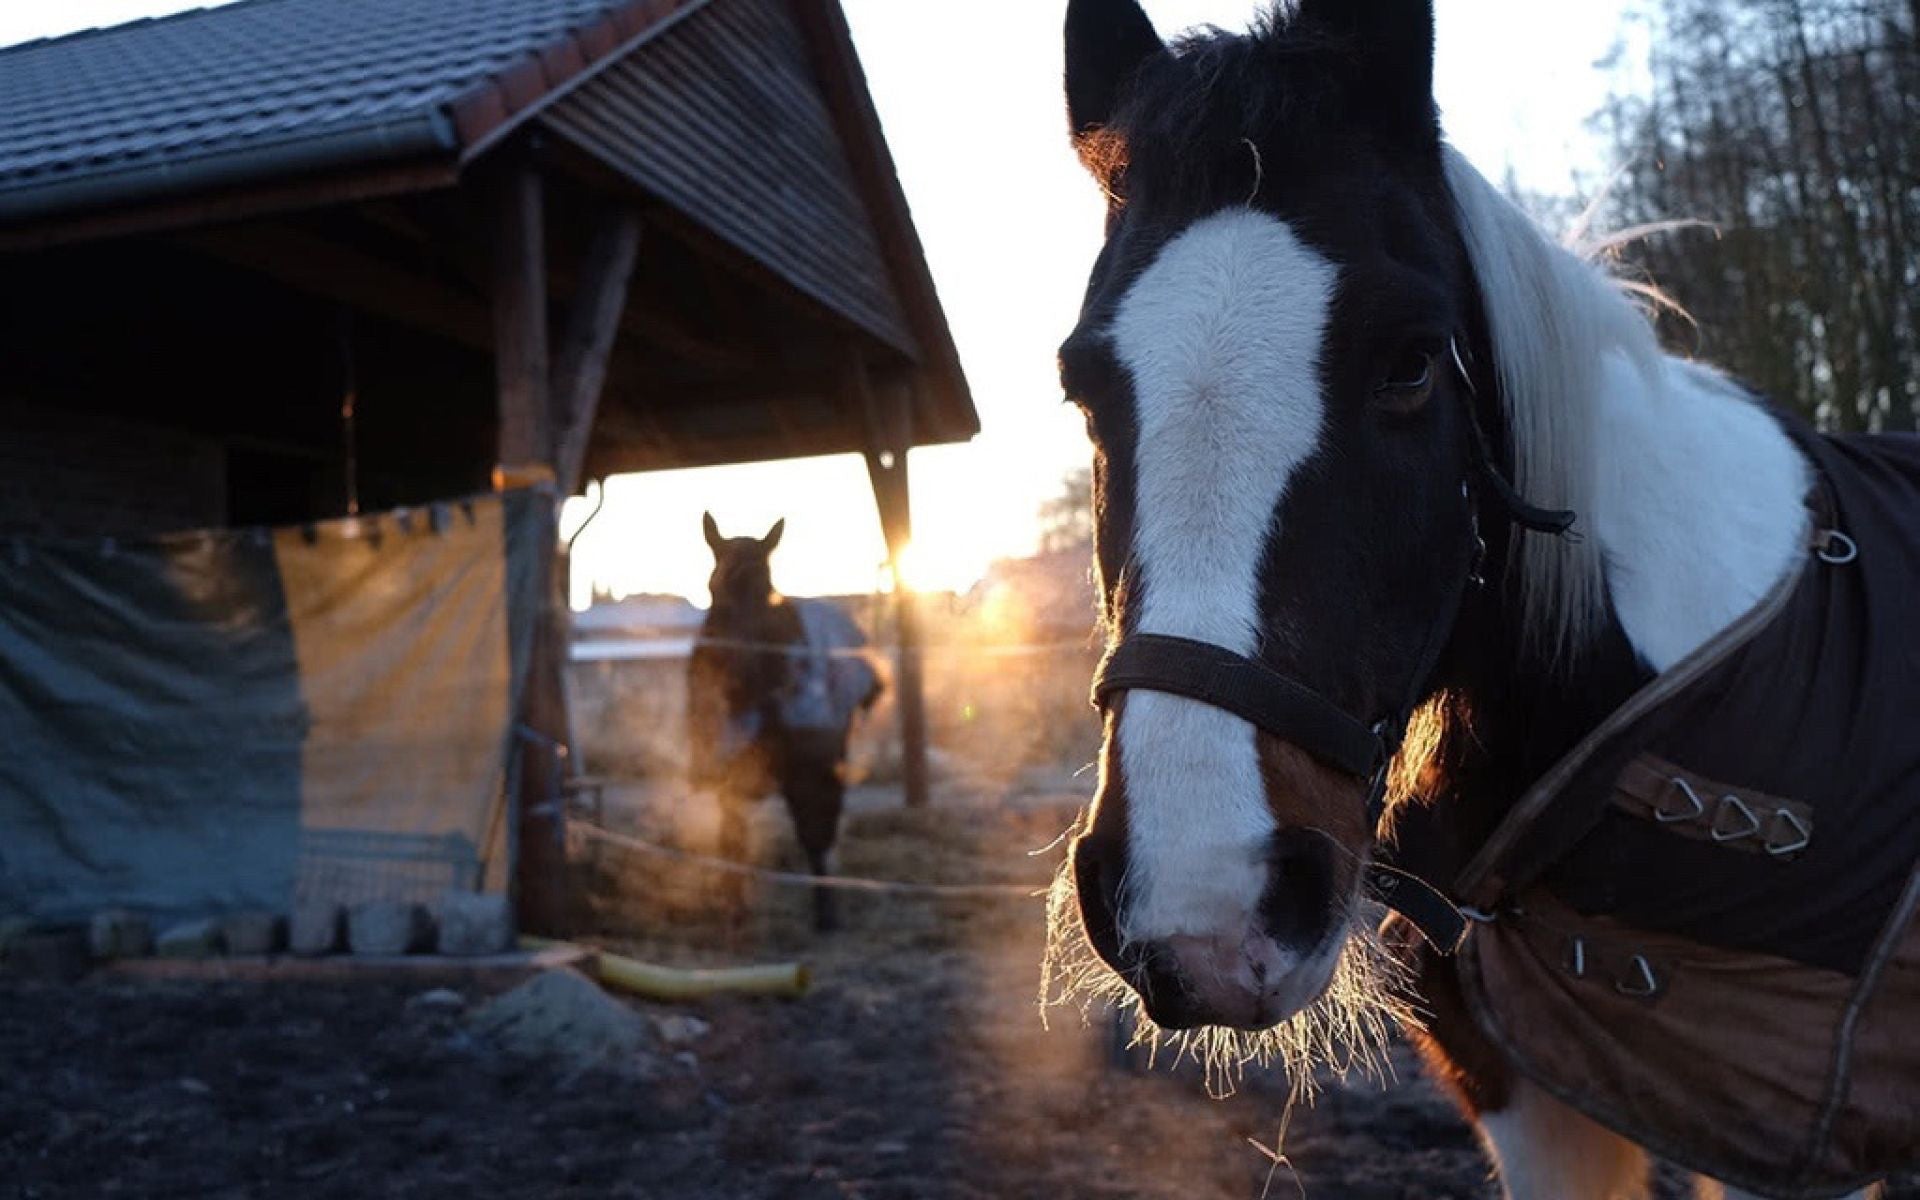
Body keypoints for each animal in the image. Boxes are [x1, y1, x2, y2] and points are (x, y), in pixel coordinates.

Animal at [691, 510, 883, 933]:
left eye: (766, 589)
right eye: (712, 588)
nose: (734, 675)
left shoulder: (813, 768)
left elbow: (816, 831)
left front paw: (826, 912)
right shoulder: (730, 767)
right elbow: (732, 835)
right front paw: (734, 908)